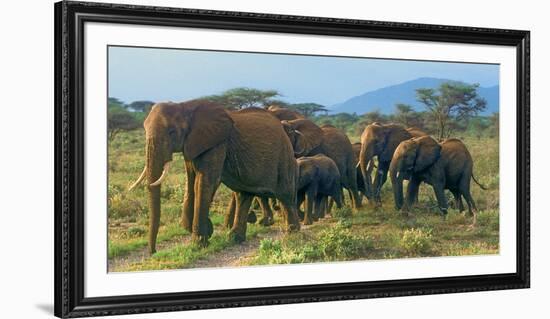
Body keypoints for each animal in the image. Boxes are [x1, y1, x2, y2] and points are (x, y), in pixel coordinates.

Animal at [129, 101, 302, 254]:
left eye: (171, 131)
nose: (153, 252)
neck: (185, 106)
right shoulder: (192, 145)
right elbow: (190, 182)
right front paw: (206, 230)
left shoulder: (217, 144)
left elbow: (205, 182)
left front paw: (199, 243)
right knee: (243, 195)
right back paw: (234, 238)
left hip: (284, 156)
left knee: (285, 194)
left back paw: (293, 233)